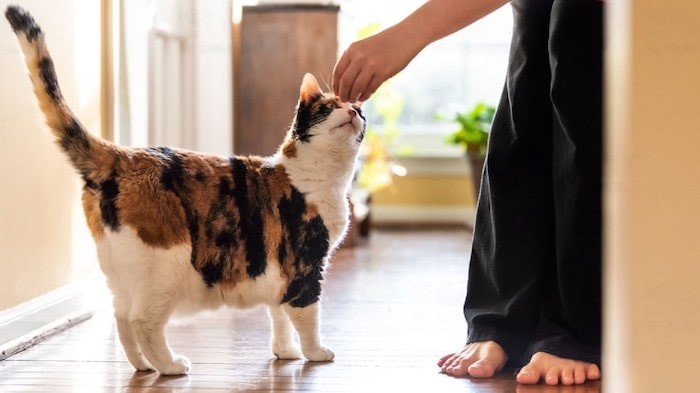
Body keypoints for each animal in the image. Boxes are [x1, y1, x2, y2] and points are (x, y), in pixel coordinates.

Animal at [5, 5, 366, 374]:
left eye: (360, 111)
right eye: (329, 107)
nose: (354, 110)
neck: (321, 175)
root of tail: (124, 156)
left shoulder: (281, 272)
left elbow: (278, 314)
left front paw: (285, 352)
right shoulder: (305, 264)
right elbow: (307, 315)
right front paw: (316, 353)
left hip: (122, 272)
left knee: (121, 317)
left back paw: (143, 365)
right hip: (166, 264)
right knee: (143, 321)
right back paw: (171, 366)